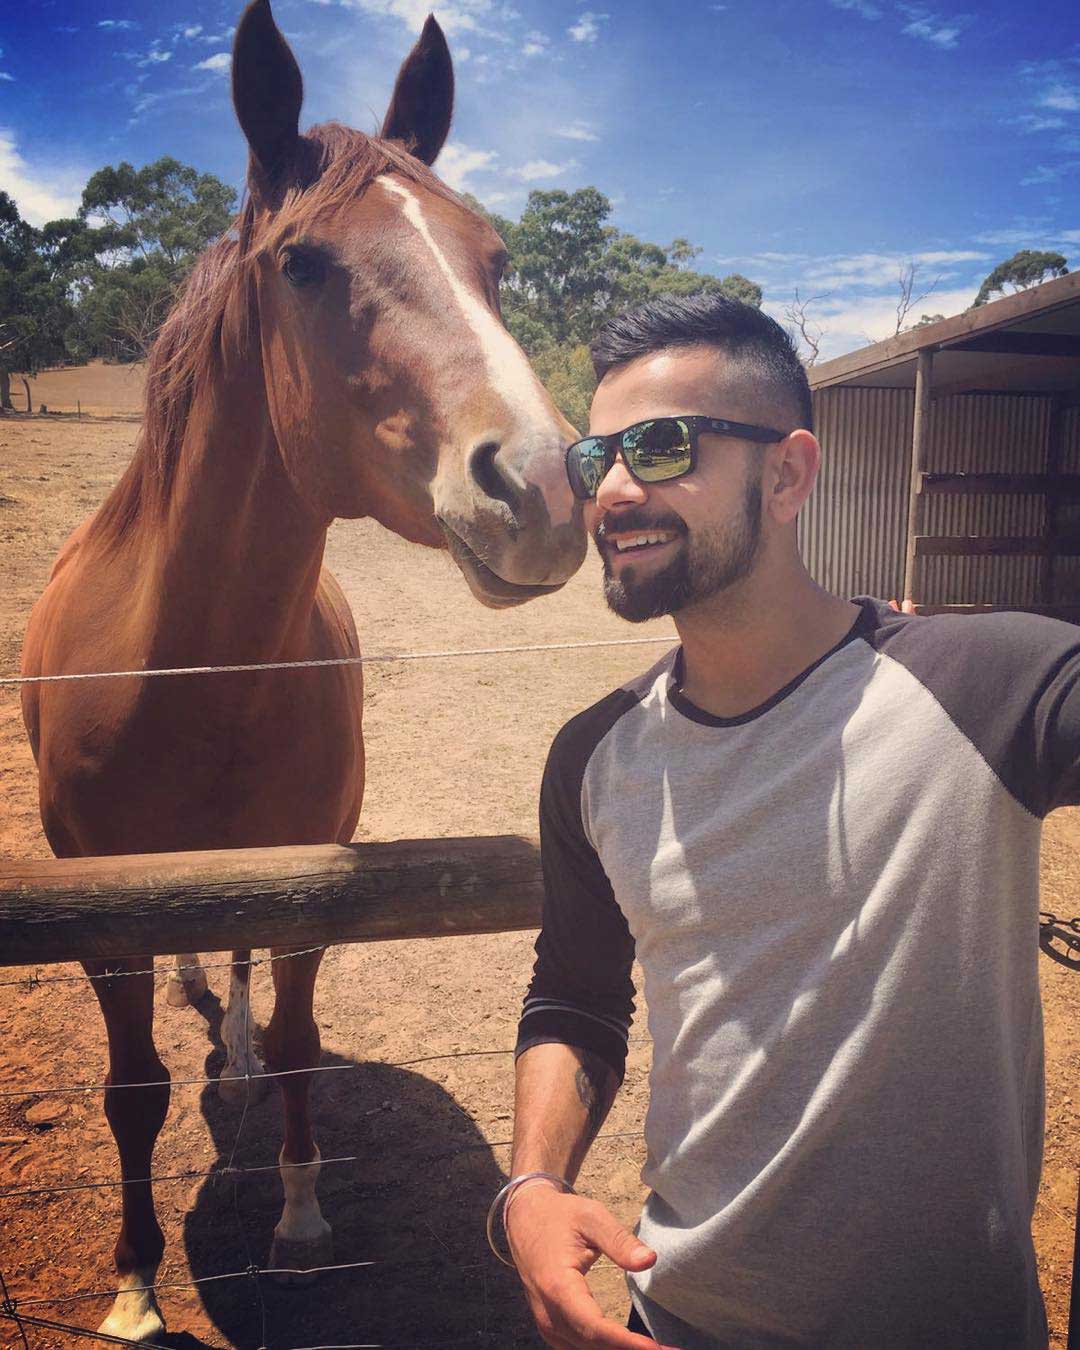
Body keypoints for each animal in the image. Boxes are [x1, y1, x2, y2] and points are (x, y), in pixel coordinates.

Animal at [18, 2, 583, 1339]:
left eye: (492, 260)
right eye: (304, 263)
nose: (543, 483)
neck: (186, 672)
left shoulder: (308, 885)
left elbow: (293, 1043)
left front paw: (304, 1220)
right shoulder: (99, 915)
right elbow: (130, 1089)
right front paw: (134, 1284)